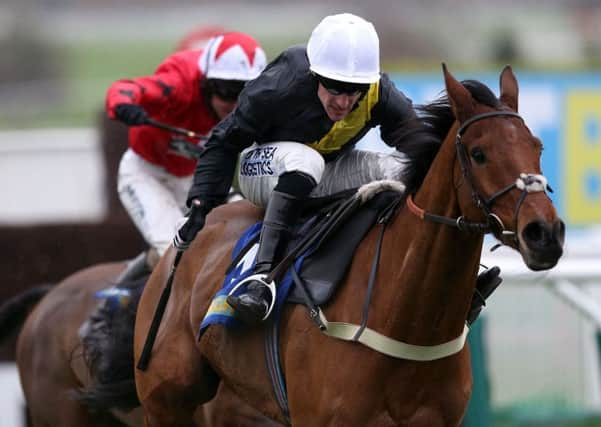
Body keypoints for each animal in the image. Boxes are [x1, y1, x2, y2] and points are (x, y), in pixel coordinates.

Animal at [131, 64, 564, 427]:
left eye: (538, 147)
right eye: (479, 153)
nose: (544, 234)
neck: (409, 320)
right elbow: (231, 134)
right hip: (165, 401)